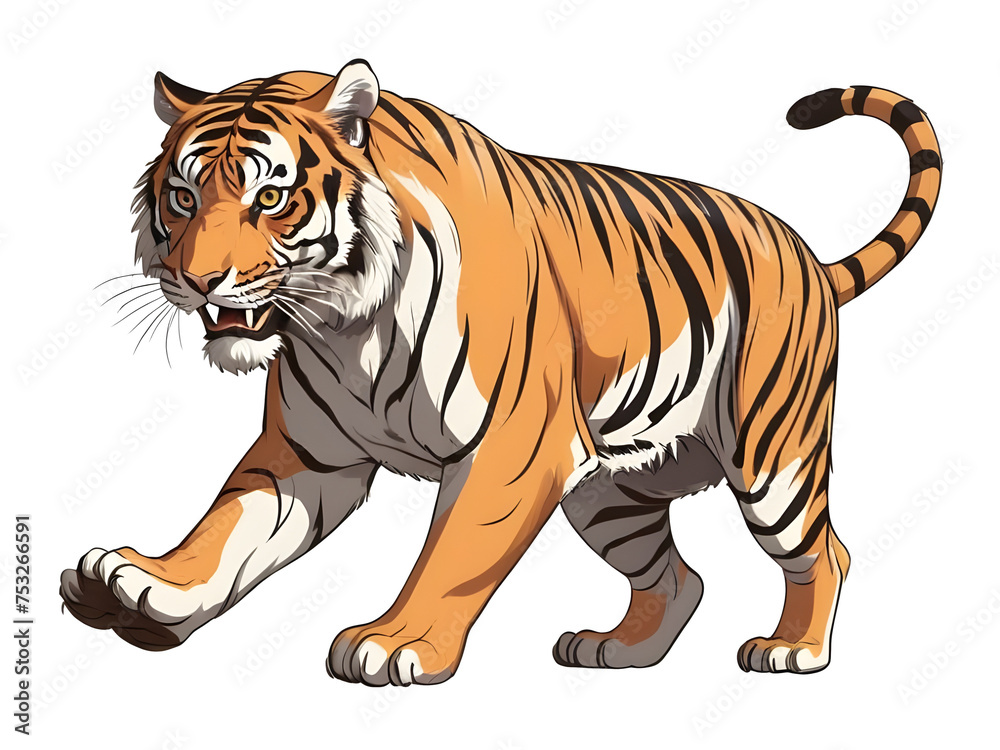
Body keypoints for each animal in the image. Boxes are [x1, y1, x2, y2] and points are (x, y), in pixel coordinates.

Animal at [59, 60, 941, 685]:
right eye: (182, 196)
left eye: (269, 199)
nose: (197, 280)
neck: (344, 325)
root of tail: (810, 257)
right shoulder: (310, 453)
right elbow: (226, 528)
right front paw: (146, 587)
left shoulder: (510, 448)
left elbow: (453, 555)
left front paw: (396, 642)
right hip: (609, 496)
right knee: (680, 577)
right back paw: (617, 651)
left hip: (772, 459)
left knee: (824, 553)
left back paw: (793, 650)